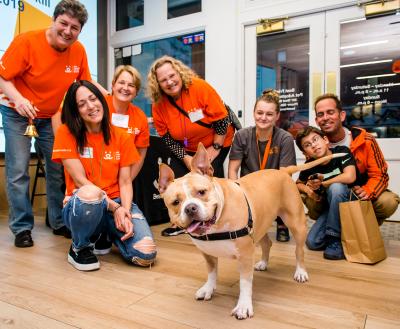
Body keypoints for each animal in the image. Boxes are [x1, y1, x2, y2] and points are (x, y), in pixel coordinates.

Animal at [158, 144, 346, 318]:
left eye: (201, 192)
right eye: (175, 202)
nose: (190, 208)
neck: (218, 220)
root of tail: (284, 171)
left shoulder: (245, 254)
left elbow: (245, 283)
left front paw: (243, 306)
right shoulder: (208, 253)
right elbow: (211, 273)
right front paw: (208, 289)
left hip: (296, 224)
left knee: (299, 251)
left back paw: (300, 272)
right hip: (259, 226)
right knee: (267, 243)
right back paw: (263, 263)